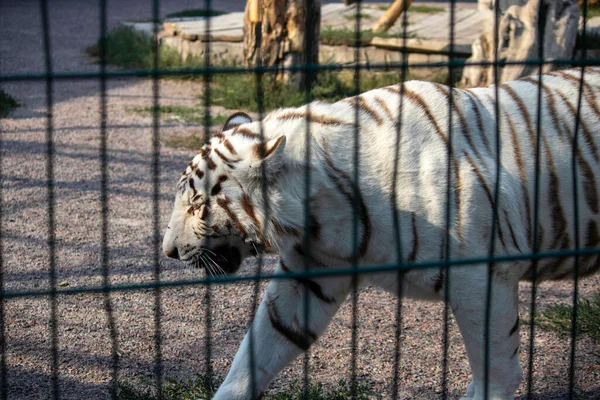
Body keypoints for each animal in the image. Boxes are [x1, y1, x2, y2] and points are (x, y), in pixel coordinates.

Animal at [163, 67, 600, 398]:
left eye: (198, 206)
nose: (168, 251)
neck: (322, 216)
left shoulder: (483, 275)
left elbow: (496, 368)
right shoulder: (311, 273)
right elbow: (257, 351)